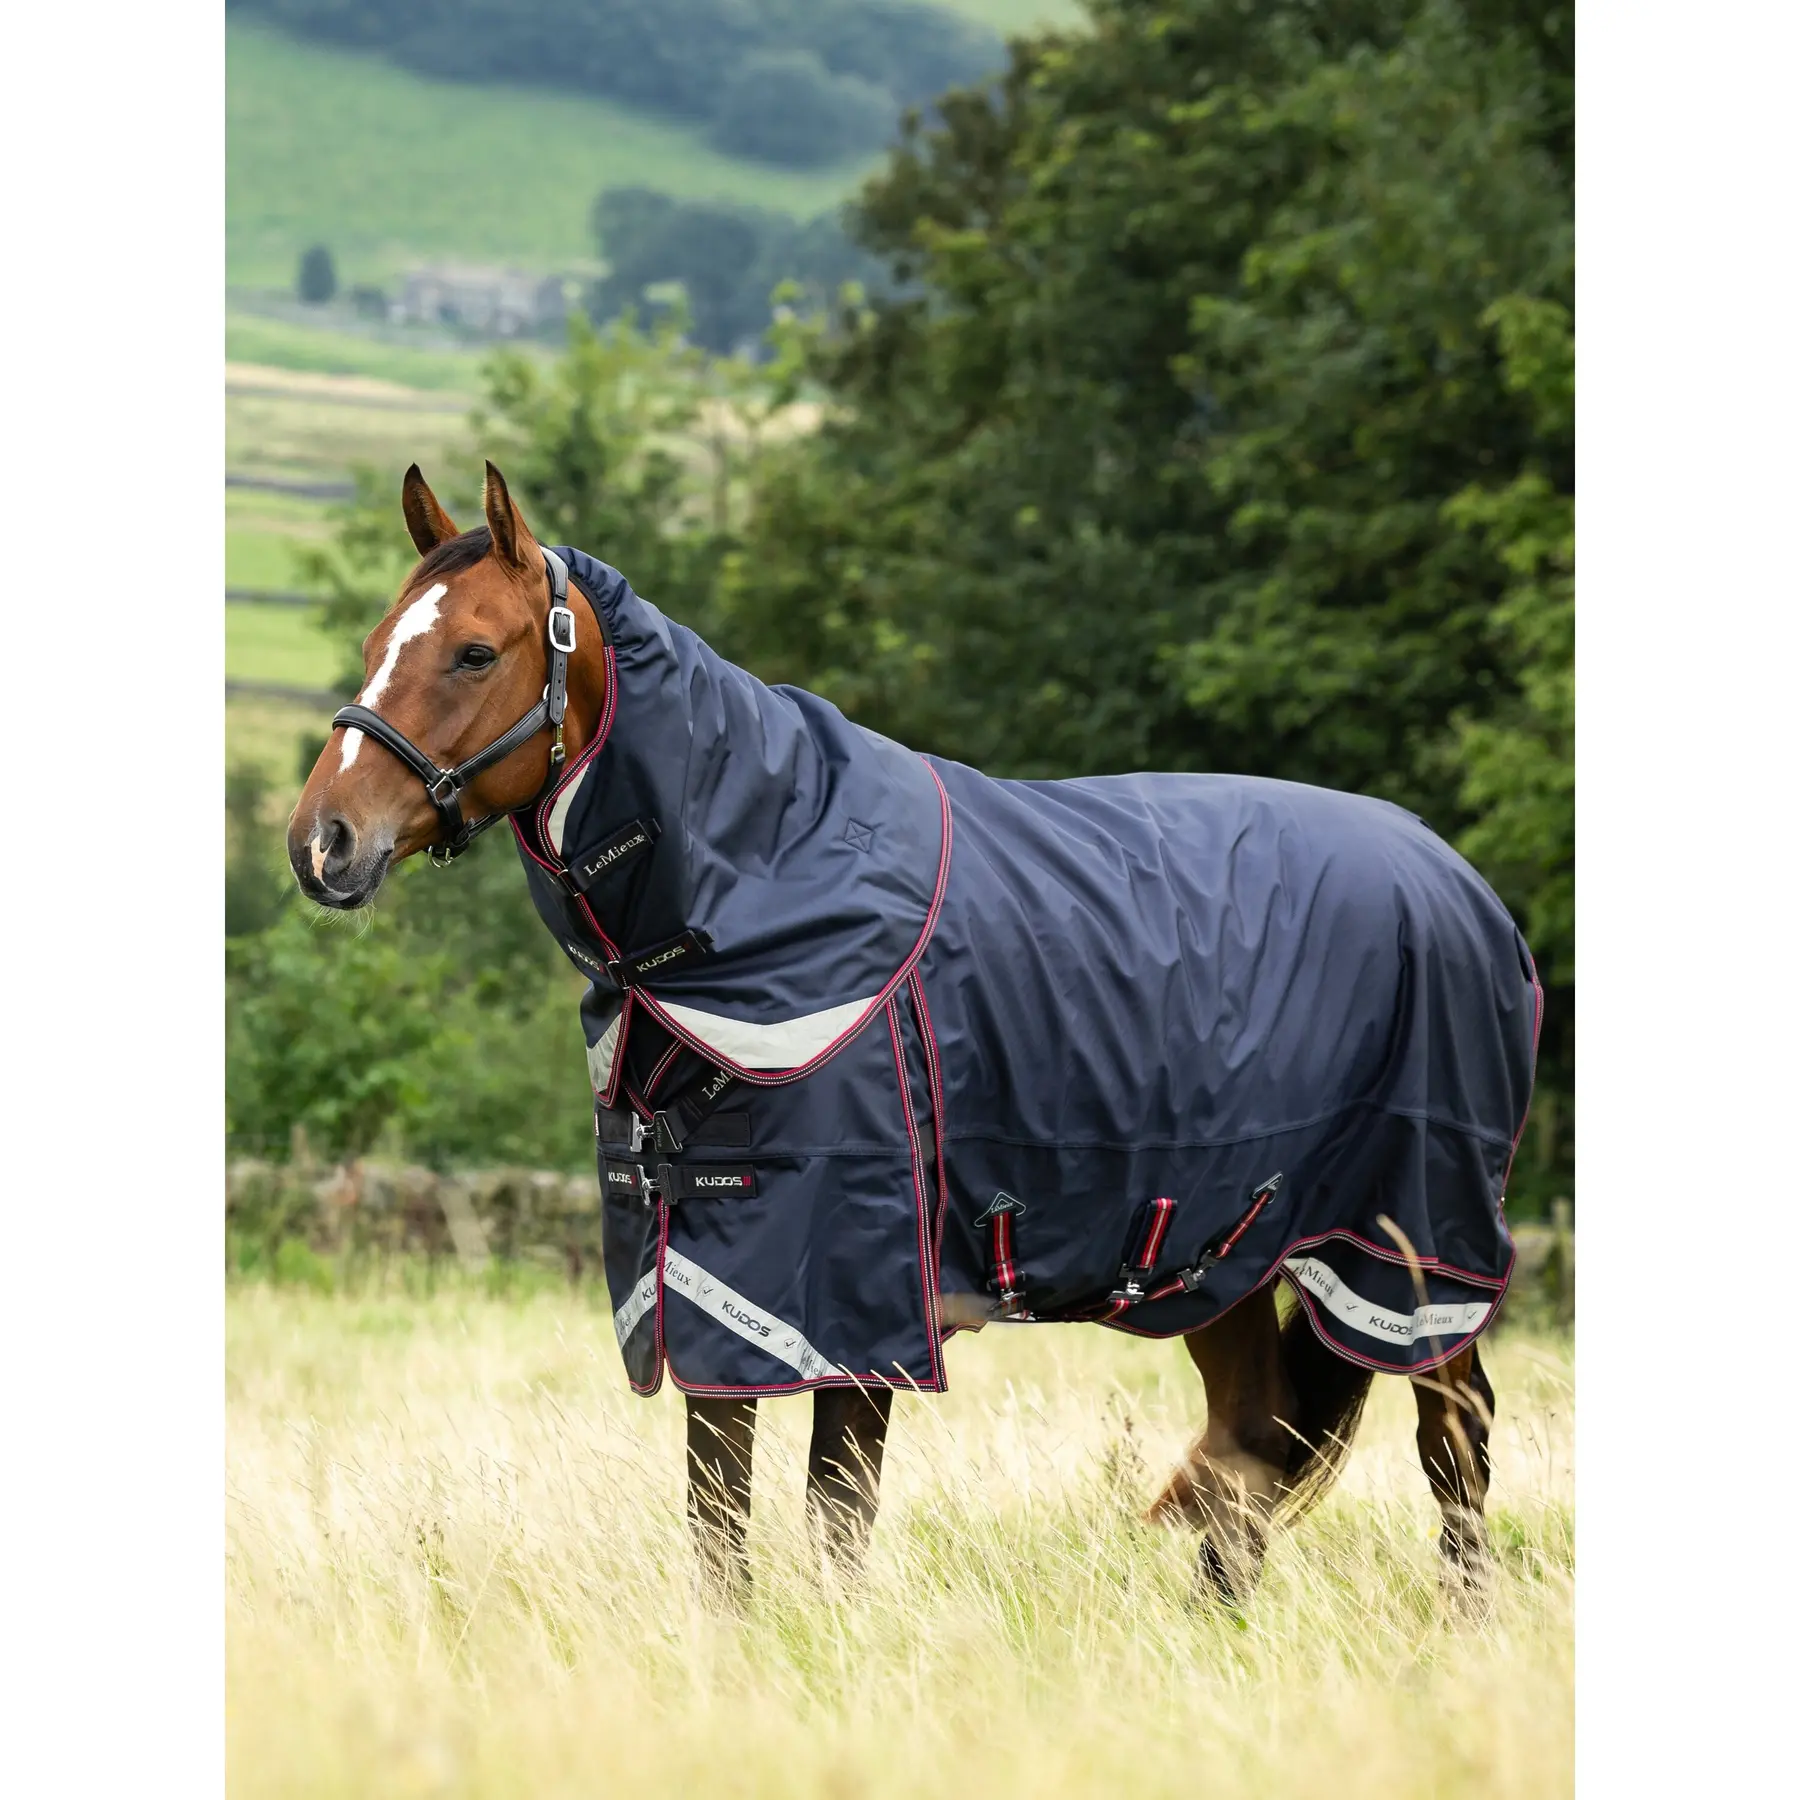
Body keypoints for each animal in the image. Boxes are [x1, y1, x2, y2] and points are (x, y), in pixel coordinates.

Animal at [287, 462, 1540, 1608]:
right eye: (377, 641)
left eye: (474, 654)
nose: (322, 842)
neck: (762, 882)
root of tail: (1464, 888)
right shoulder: (707, 1275)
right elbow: (717, 1511)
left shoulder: (852, 1288)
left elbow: (836, 1512)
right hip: (1223, 1257)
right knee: (1251, 1446)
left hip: (1415, 1248)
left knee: (1453, 1437)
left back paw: (1460, 1626)